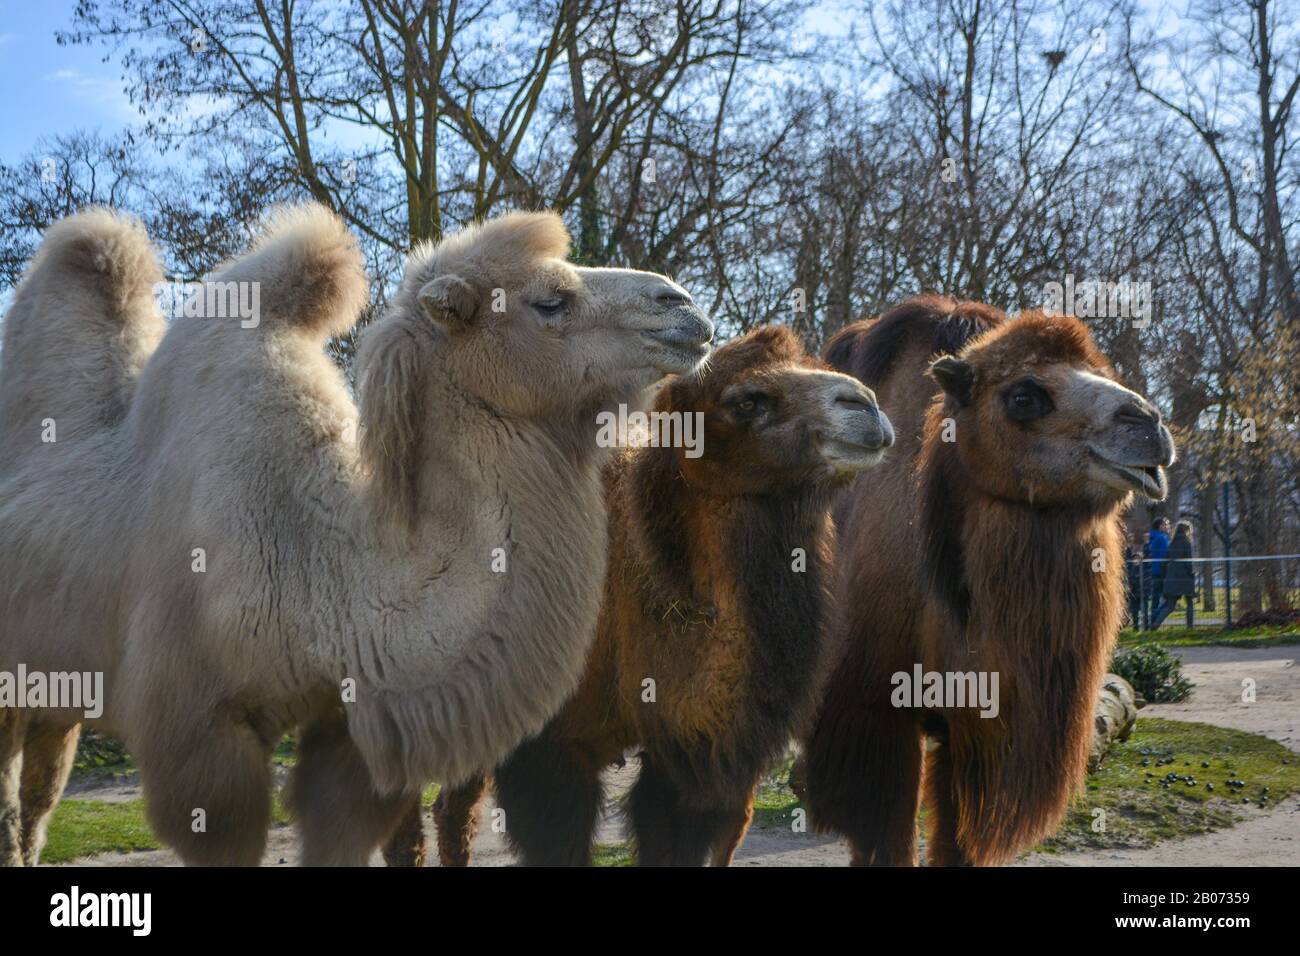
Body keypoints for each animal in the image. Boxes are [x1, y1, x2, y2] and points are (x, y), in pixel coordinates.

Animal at [0, 204, 713, 866]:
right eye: (549, 300)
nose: (684, 306)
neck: (318, 568)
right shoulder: (200, 740)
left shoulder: (344, 732)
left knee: (35, 802)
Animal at [801, 295, 1176, 866]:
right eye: (1023, 395)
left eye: (1105, 372)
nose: (1149, 425)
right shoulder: (875, 717)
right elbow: (888, 836)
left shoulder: (978, 737)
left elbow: (957, 843)